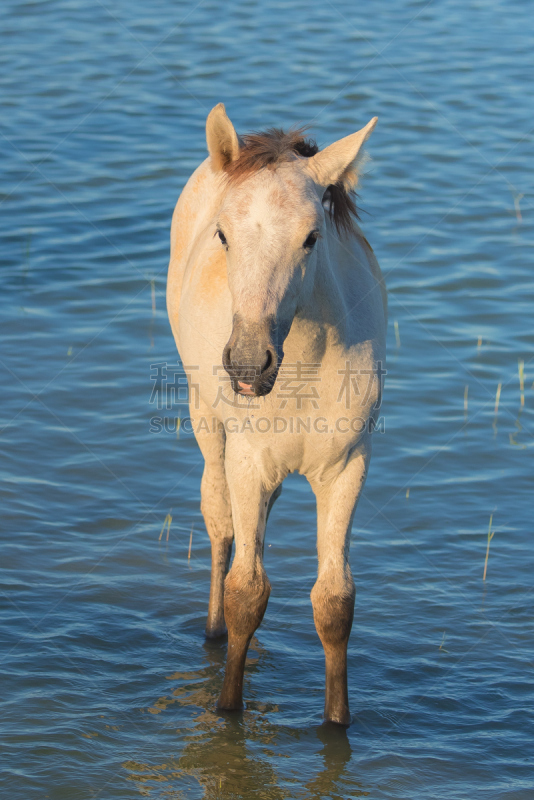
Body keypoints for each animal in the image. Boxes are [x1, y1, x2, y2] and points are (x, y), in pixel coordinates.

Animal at [165, 104, 388, 724]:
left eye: (312, 237)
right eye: (223, 234)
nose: (247, 363)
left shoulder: (346, 469)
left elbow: (334, 603)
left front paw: (337, 723)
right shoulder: (248, 463)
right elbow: (246, 593)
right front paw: (226, 712)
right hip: (206, 421)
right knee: (219, 523)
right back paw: (213, 632)